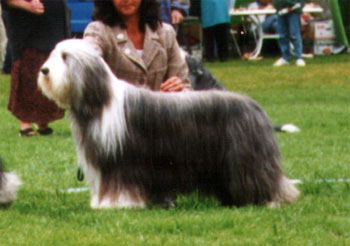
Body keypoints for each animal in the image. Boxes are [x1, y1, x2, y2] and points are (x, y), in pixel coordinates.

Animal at [39, 39, 300, 209]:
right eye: (54, 54)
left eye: (65, 57)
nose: (44, 69)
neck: (100, 100)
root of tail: (254, 106)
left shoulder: (119, 161)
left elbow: (119, 183)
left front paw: (114, 203)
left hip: (246, 158)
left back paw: (271, 199)